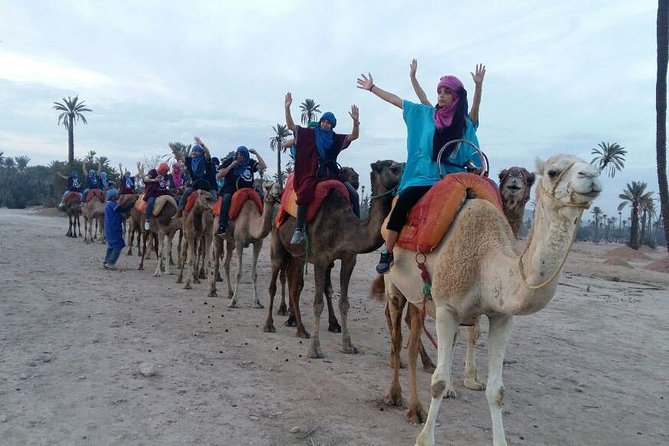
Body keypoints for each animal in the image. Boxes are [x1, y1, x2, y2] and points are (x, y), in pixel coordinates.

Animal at [266, 160, 402, 358]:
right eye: (393, 168)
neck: (344, 227)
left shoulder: (349, 259)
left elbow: (344, 302)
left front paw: (348, 345)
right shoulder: (321, 259)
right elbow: (318, 303)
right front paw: (315, 349)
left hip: (298, 256)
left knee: (294, 288)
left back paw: (301, 329)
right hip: (277, 240)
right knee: (274, 283)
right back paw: (269, 325)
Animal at [378, 154, 604, 446]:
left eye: (593, 166)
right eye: (553, 172)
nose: (592, 176)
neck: (486, 259)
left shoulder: (502, 317)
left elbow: (497, 390)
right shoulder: (447, 309)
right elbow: (438, 382)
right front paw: (425, 439)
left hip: (420, 298)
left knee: (413, 333)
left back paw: (414, 408)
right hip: (393, 283)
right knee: (396, 334)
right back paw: (394, 396)